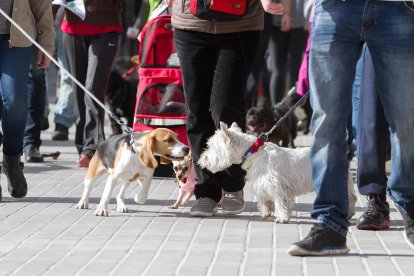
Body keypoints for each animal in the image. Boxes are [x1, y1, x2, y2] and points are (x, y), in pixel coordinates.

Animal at [198, 122, 356, 223]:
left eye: (213, 147)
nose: (201, 160)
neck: (254, 153)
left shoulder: (277, 185)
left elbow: (280, 201)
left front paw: (282, 218)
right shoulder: (260, 184)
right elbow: (265, 200)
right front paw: (265, 213)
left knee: (350, 197)